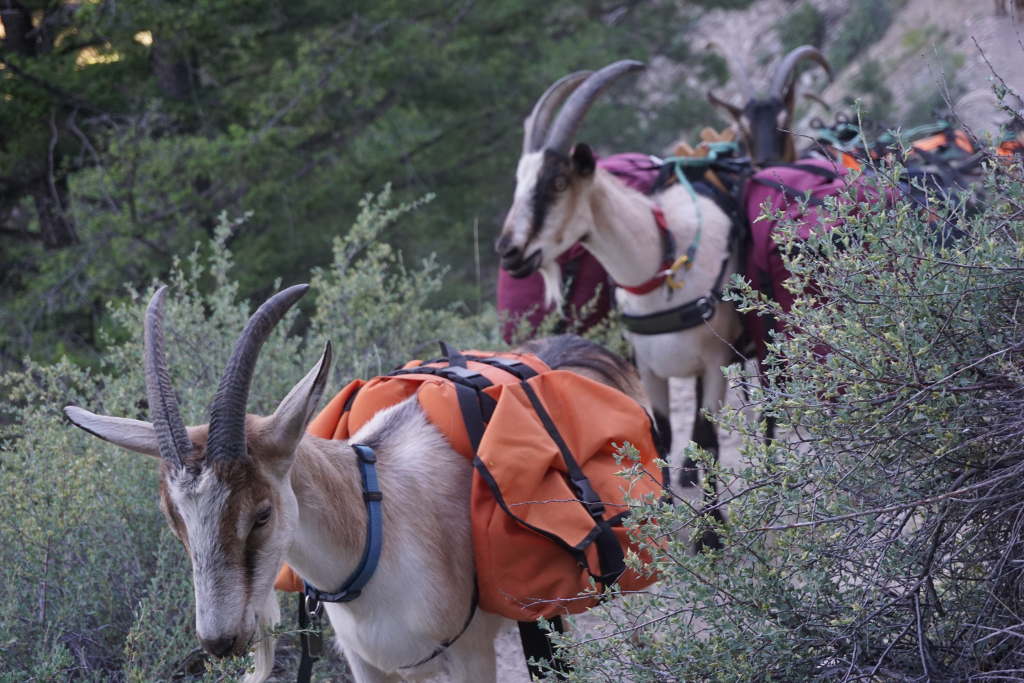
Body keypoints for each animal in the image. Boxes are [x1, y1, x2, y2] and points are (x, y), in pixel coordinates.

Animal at [63, 284, 651, 682]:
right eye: (176, 522)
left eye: (261, 513)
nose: (220, 639)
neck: (378, 526)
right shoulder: (370, 667)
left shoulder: (472, 656)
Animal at [495, 61, 744, 529]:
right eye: (517, 182)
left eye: (558, 182)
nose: (510, 252)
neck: (662, 261)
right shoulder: (648, 364)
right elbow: (660, 434)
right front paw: (665, 506)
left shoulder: (714, 359)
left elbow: (707, 436)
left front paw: (712, 530)